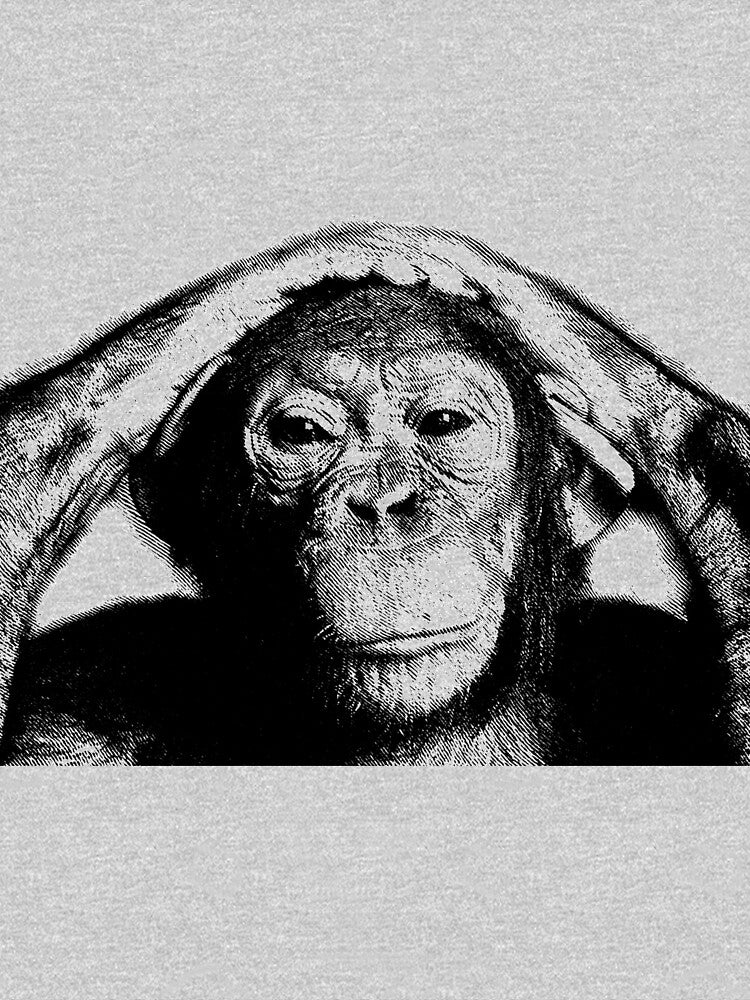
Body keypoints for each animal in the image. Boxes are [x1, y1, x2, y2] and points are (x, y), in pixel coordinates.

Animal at [0, 222, 747, 763]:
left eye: (444, 424)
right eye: (302, 434)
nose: (381, 502)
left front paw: (519, 299)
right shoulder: (74, 700)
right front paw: (302, 264)